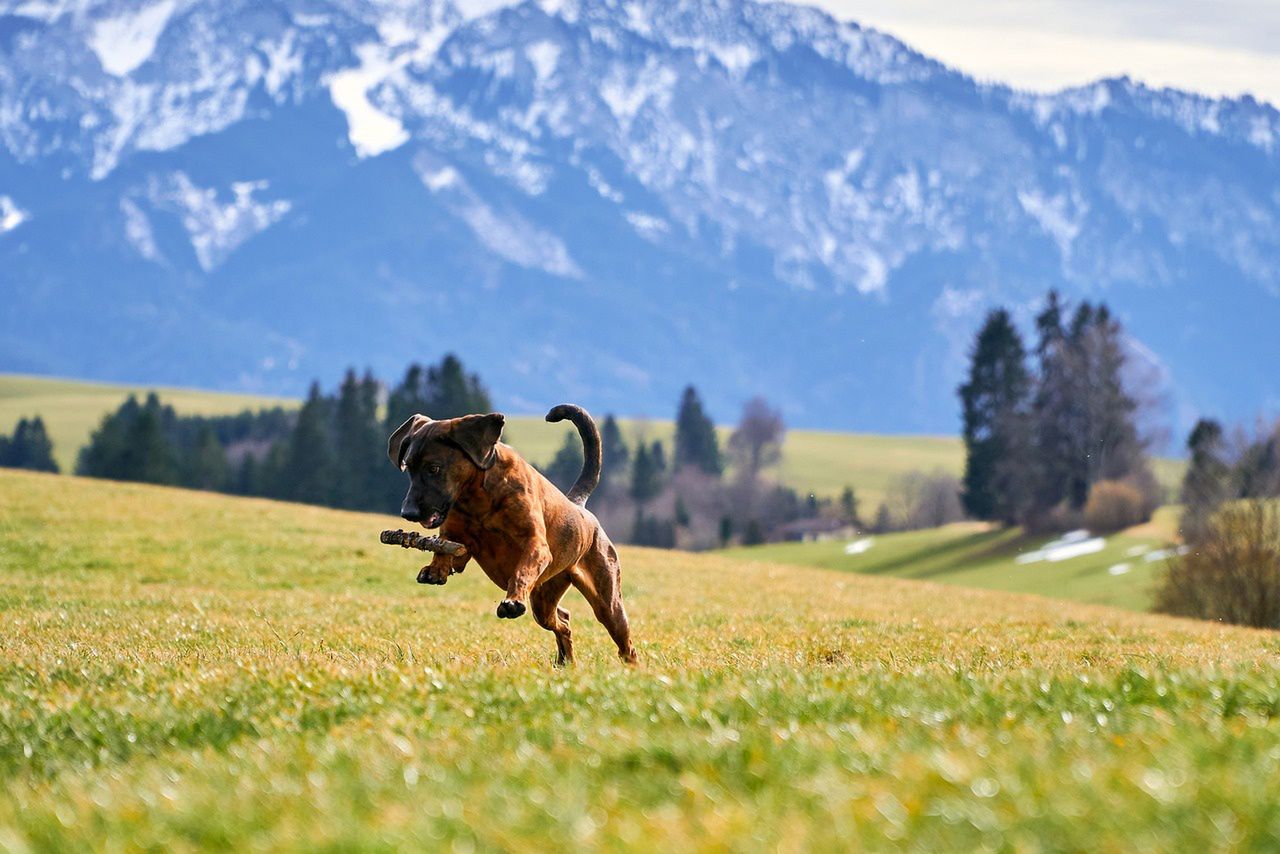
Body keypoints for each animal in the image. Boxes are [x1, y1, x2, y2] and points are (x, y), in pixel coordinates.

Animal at [384, 404, 634, 665]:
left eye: (434, 468)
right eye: (408, 468)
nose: (408, 513)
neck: (477, 496)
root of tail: (579, 507)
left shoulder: (535, 545)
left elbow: (521, 571)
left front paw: (512, 601)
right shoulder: (458, 537)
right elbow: (445, 547)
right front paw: (435, 569)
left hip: (607, 601)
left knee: (623, 639)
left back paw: (631, 666)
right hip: (544, 599)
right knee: (563, 619)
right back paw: (565, 661)